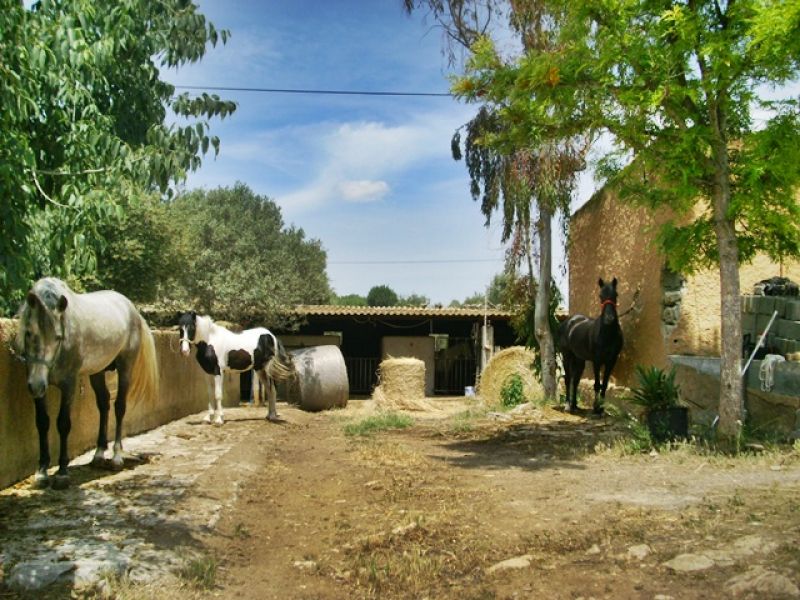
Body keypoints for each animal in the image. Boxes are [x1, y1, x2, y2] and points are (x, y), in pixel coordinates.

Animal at [14, 276, 159, 488]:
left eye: (58, 337)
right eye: (29, 334)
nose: (37, 385)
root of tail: (132, 309)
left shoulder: (69, 384)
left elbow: (63, 423)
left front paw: (62, 472)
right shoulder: (37, 386)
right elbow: (42, 422)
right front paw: (42, 471)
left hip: (125, 367)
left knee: (119, 407)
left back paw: (116, 457)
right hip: (97, 372)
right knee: (104, 404)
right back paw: (98, 455)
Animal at [556, 278, 624, 414]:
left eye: (616, 295)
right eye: (600, 296)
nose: (609, 318)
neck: (607, 334)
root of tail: (568, 322)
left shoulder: (611, 361)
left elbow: (605, 384)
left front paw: (601, 409)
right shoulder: (597, 361)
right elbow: (597, 384)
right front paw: (595, 408)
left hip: (579, 359)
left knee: (576, 380)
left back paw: (574, 405)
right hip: (567, 355)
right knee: (568, 379)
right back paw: (567, 405)